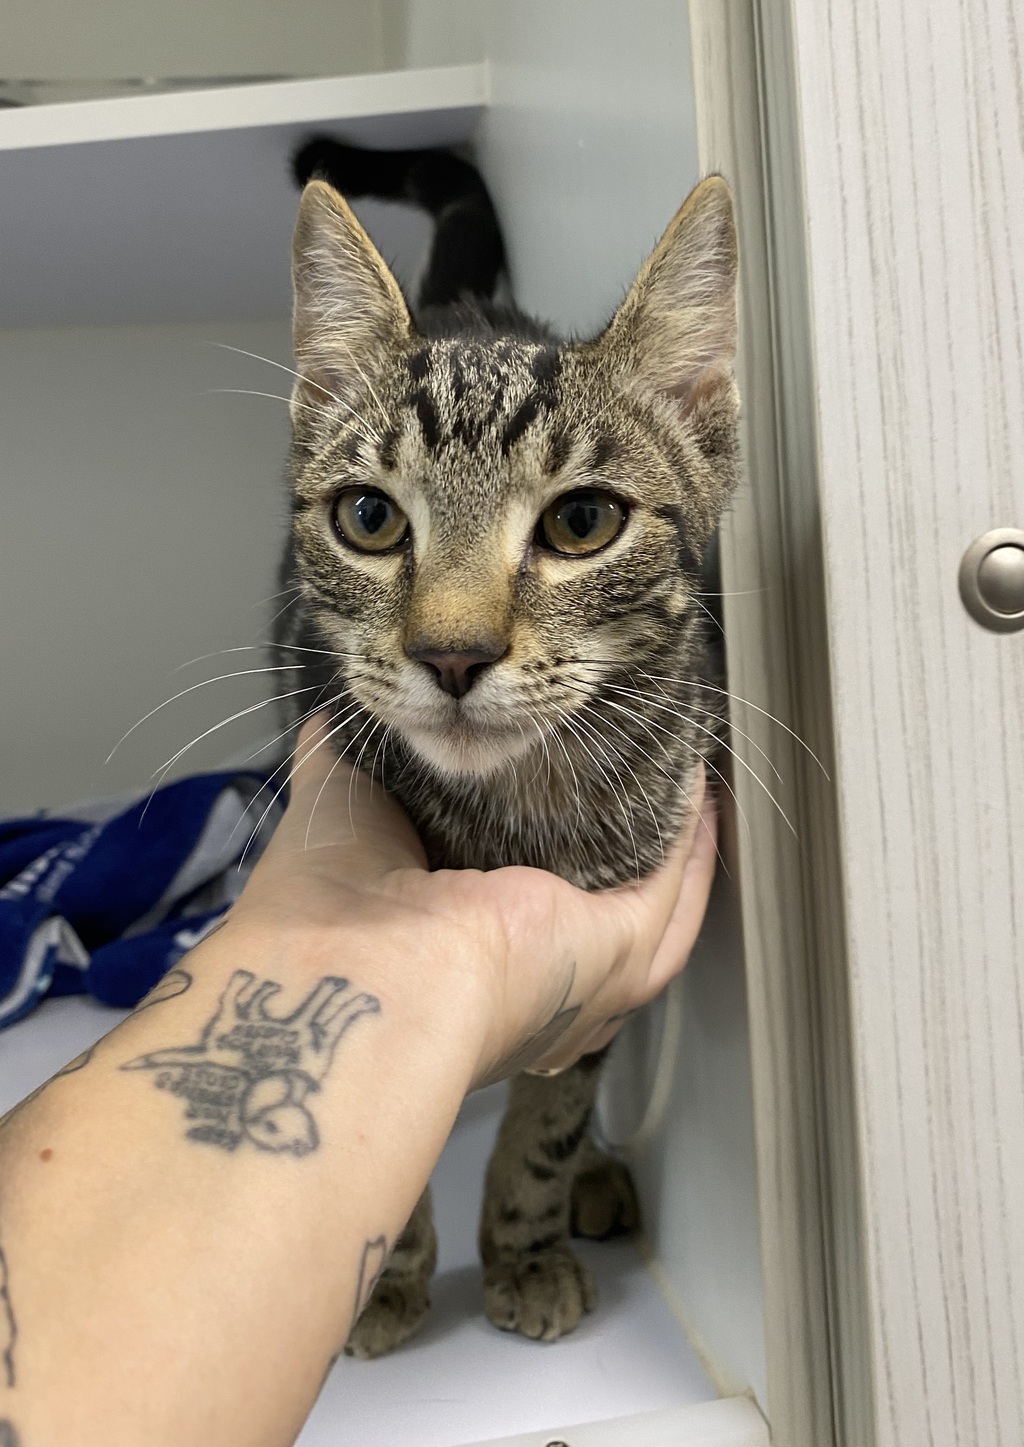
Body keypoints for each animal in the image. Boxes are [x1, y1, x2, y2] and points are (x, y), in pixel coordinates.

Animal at [276, 140, 739, 1357]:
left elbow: (551, 1111)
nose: (452, 651)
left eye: (582, 523)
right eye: (369, 518)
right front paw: (392, 1272)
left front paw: (526, 1240)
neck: (518, 815)